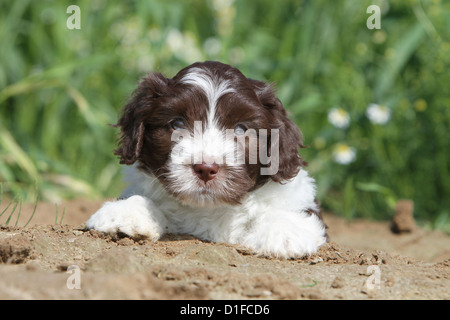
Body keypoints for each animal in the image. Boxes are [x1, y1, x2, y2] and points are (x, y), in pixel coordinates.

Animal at [86, 61, 326, 258]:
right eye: (177, 124)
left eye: (241, 129)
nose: (205, 168)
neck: (208, 209)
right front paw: (125, 214)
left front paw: (284, 232)